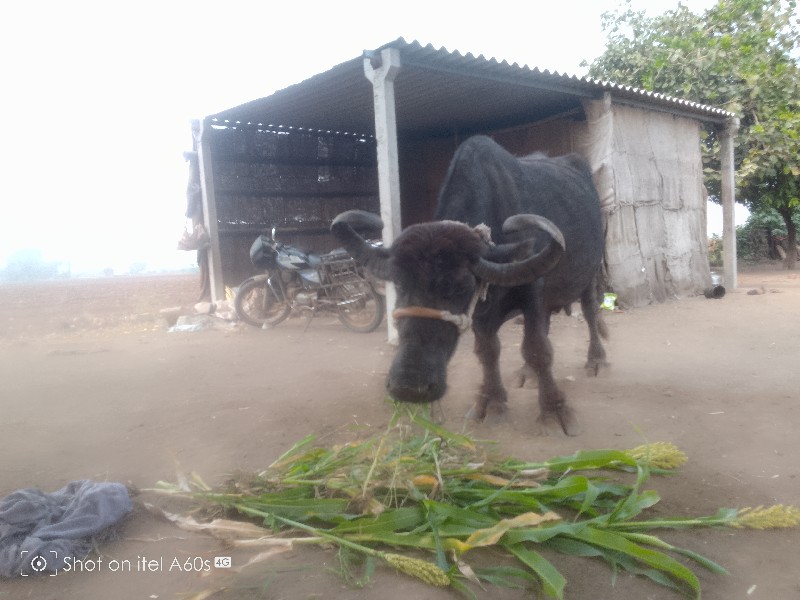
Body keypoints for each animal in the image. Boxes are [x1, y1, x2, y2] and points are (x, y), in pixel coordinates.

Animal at [332, 136, 608, 436]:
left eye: (460, 288)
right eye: (399, 284)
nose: (409, 387)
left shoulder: (531, 288)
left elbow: (537, 348)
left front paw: (555, 410)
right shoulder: (481, 312)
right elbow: (487, 351)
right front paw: (491, 402)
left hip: (590, 274)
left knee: (590, 312)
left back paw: (596, 361)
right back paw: (528, 374)